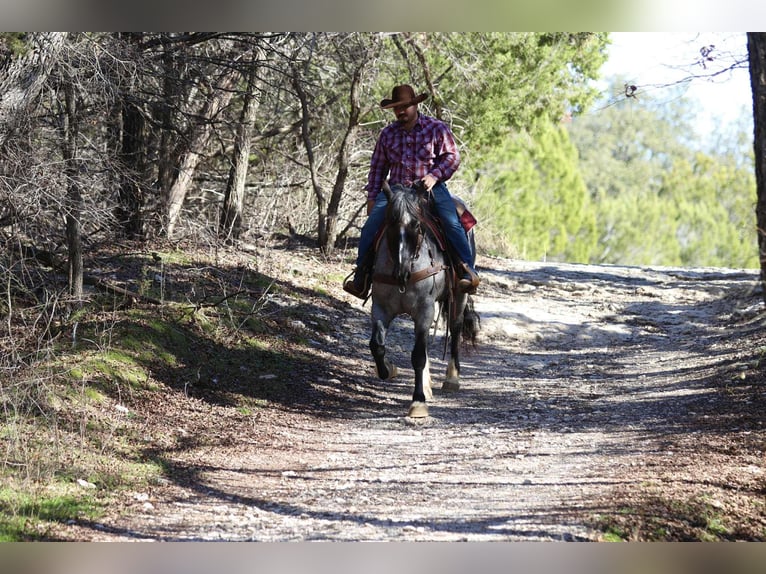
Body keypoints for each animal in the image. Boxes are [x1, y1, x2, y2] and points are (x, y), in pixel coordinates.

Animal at [368, 182, 480, 418]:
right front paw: (389, 369)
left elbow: (418, 355)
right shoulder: (380, 309)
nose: (401, 272)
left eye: (417, 224)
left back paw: (452, 379)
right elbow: (377, 346)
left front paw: (418, 402)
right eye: (389, 222)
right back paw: (429, 386)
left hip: (459, 295)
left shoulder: (424, 309)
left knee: (455, 329)